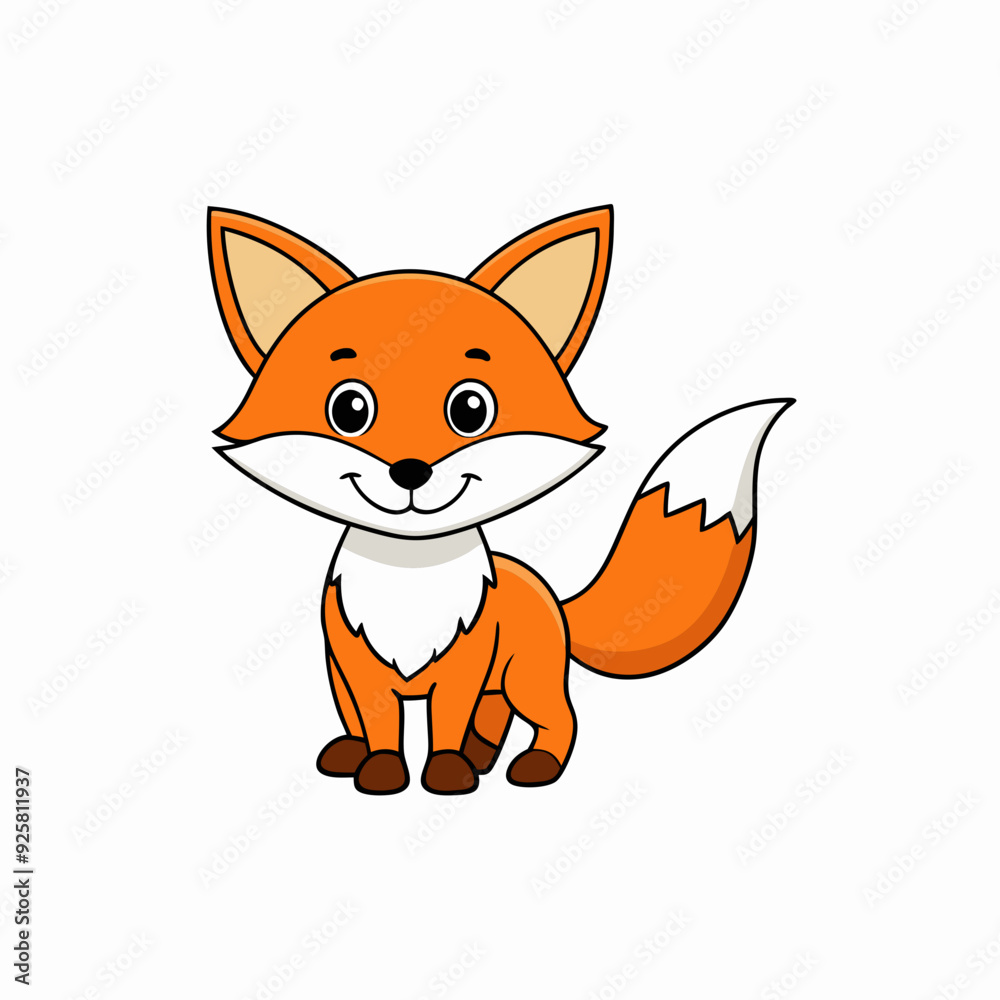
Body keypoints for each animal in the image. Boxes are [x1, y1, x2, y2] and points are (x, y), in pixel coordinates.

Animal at [206, 204, 792, 795]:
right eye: (349, 409)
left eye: (471, 409)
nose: (410, 470)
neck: (410, 577)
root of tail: (548, 591)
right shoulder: (357, 665)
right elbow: (379, 725)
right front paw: (383, 769)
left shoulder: (463, 663)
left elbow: (445, 721)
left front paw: (445, 771)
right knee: (468, 718)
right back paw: (434, 756)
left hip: (524, 677)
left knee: (556, 717)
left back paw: (533, 765)